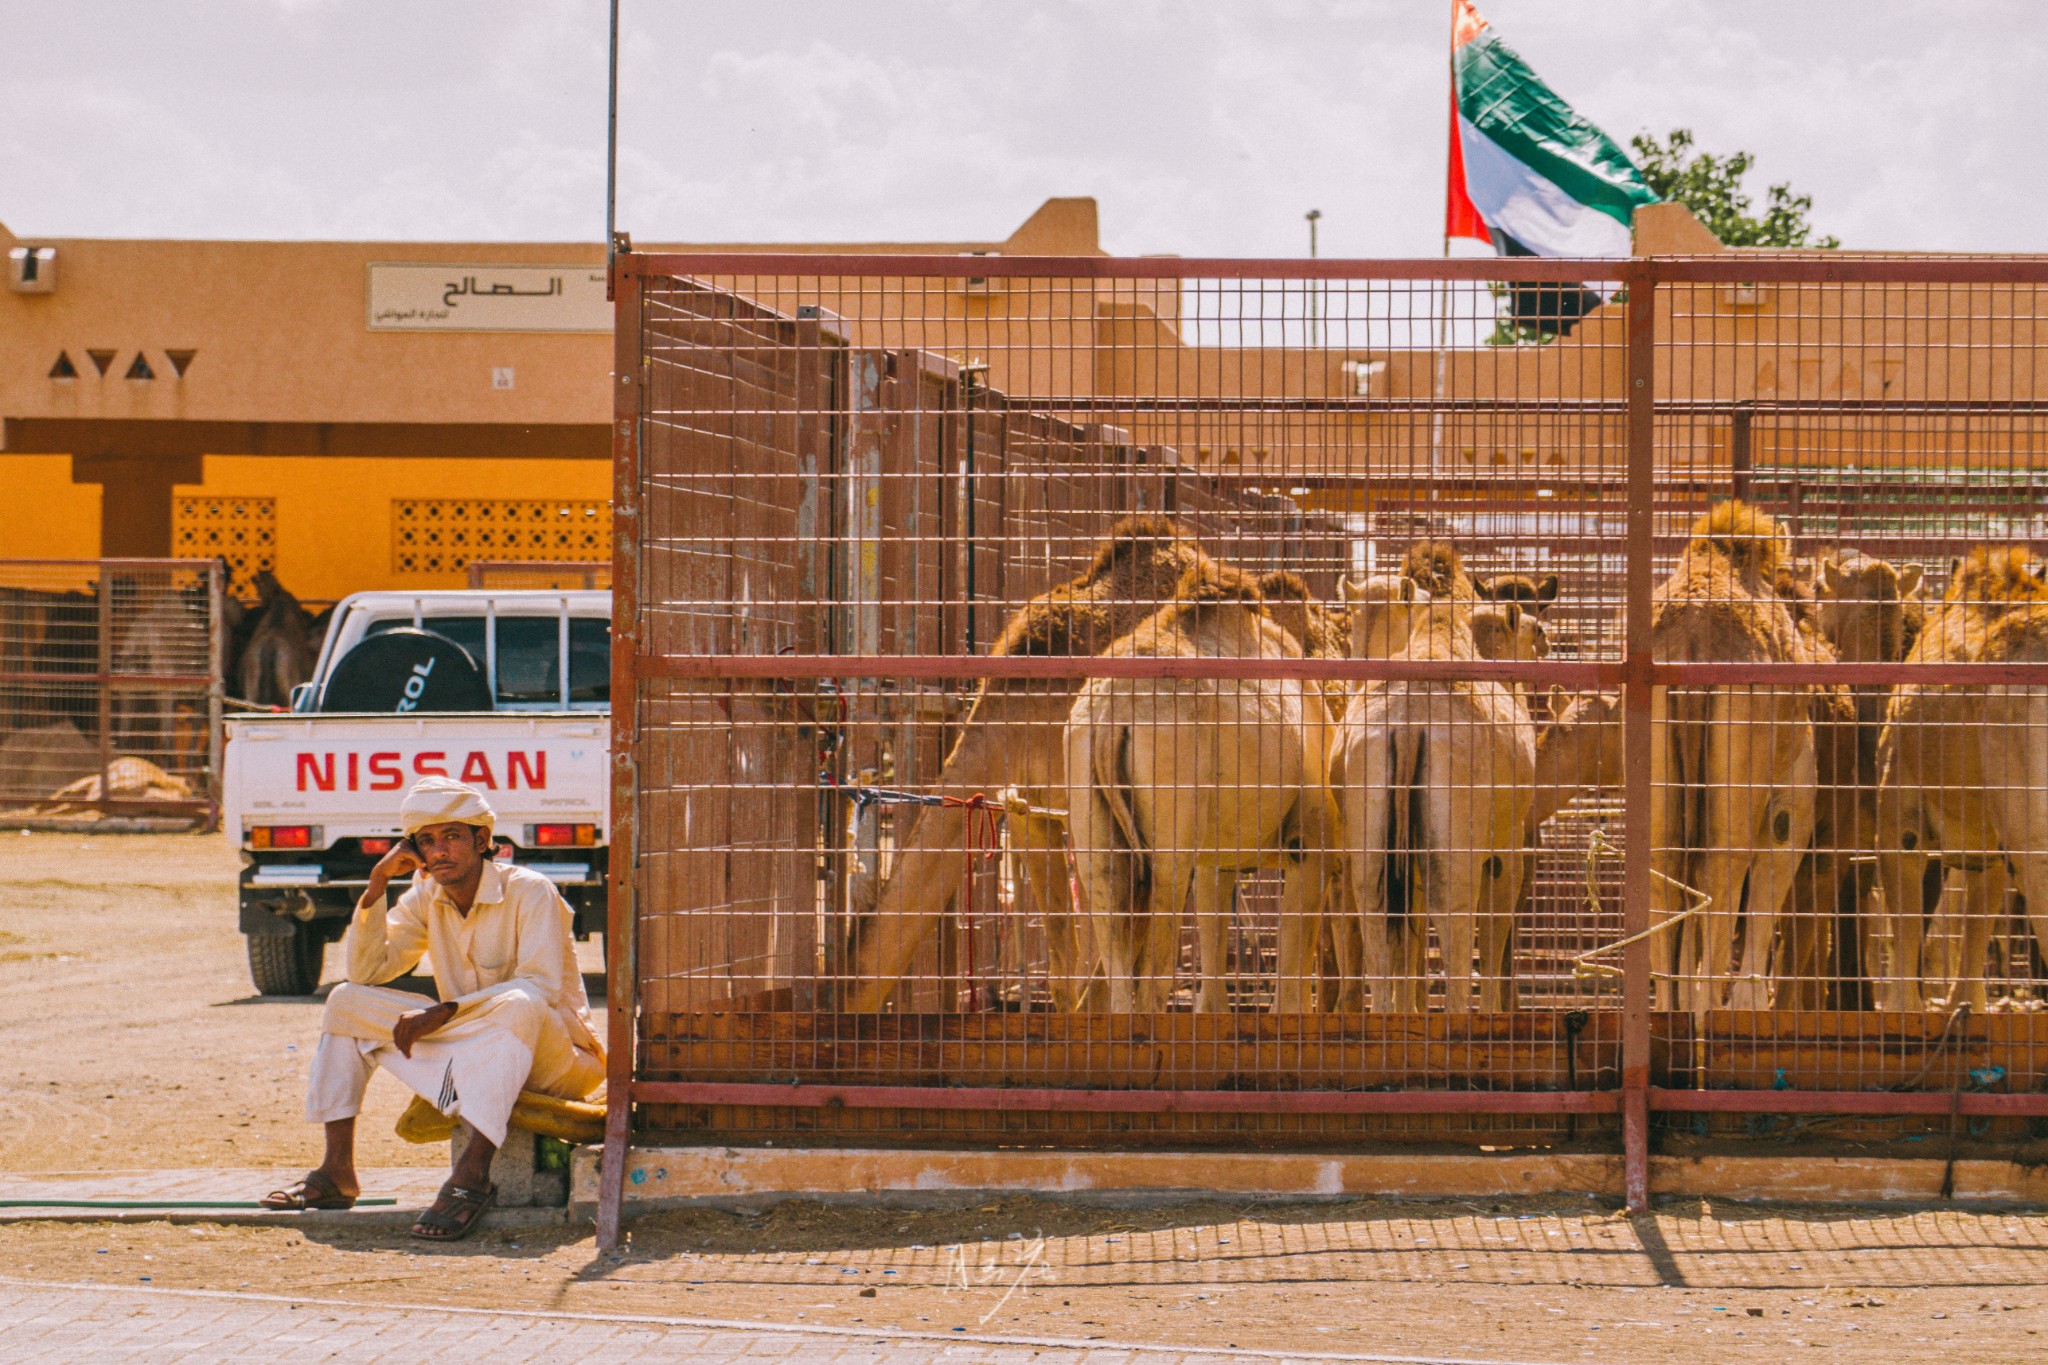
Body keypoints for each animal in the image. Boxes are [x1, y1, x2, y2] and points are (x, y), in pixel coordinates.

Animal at [1064, 564, 1335, 1015]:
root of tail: (1111, 712)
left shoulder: (1215, 860)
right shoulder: (1309, 841)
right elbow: (1292, 985)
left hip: (1092, 817)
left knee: (1115, 955)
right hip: (1172, 816)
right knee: (1152, 978)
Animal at [1327, 544, 1540, 1015]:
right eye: (1534, 633)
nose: (1546, 638)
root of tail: (1408, 724)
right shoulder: (1506, 844)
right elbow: (1494, 933)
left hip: (1370, 818)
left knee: (1374, 911)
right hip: (1459, 828)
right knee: (1454, 913)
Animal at [1654, 505, 1818, 1015]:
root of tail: (1691, 640)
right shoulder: (1795, 785)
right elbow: (1770, 875)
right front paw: (1751, 1001)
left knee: (1666, 867)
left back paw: (1668, 1008)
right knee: (1723, 867)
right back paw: (1707, 1009)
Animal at [1875, 548, 2048, 1010]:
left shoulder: (1900, 816)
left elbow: (1908, 929)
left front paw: (1904, 1011)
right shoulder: (1988, 845)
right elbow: (1973, 934)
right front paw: (1965, 1007)